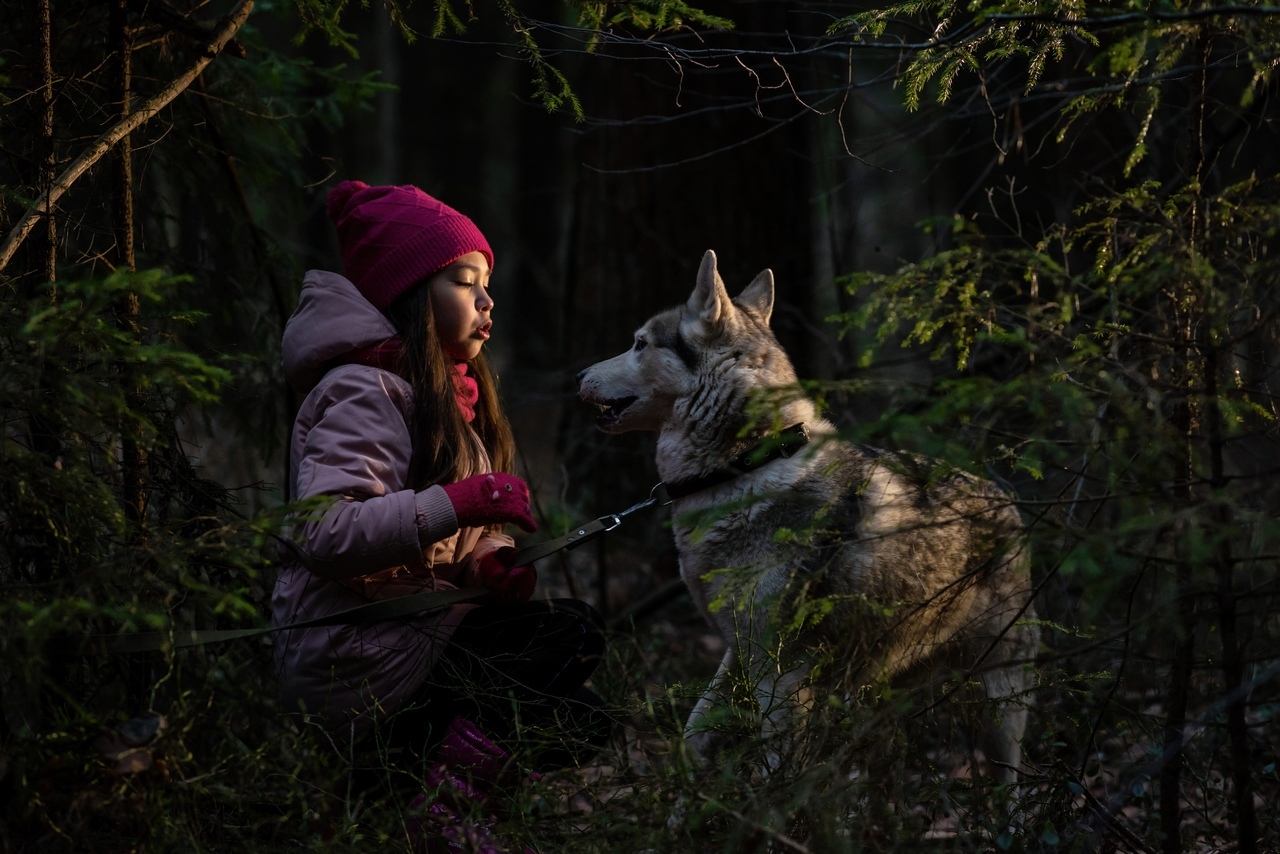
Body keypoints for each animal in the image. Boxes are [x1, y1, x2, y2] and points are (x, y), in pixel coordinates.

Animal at [581, 248, 1039, 783]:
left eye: (638, 344)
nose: (578, 377)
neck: (746, 464)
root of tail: (1007, 496)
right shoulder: (740, 651)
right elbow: (694, 733)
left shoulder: (779, 671)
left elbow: (771, 767)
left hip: (1000, 695)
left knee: (1012, 776)